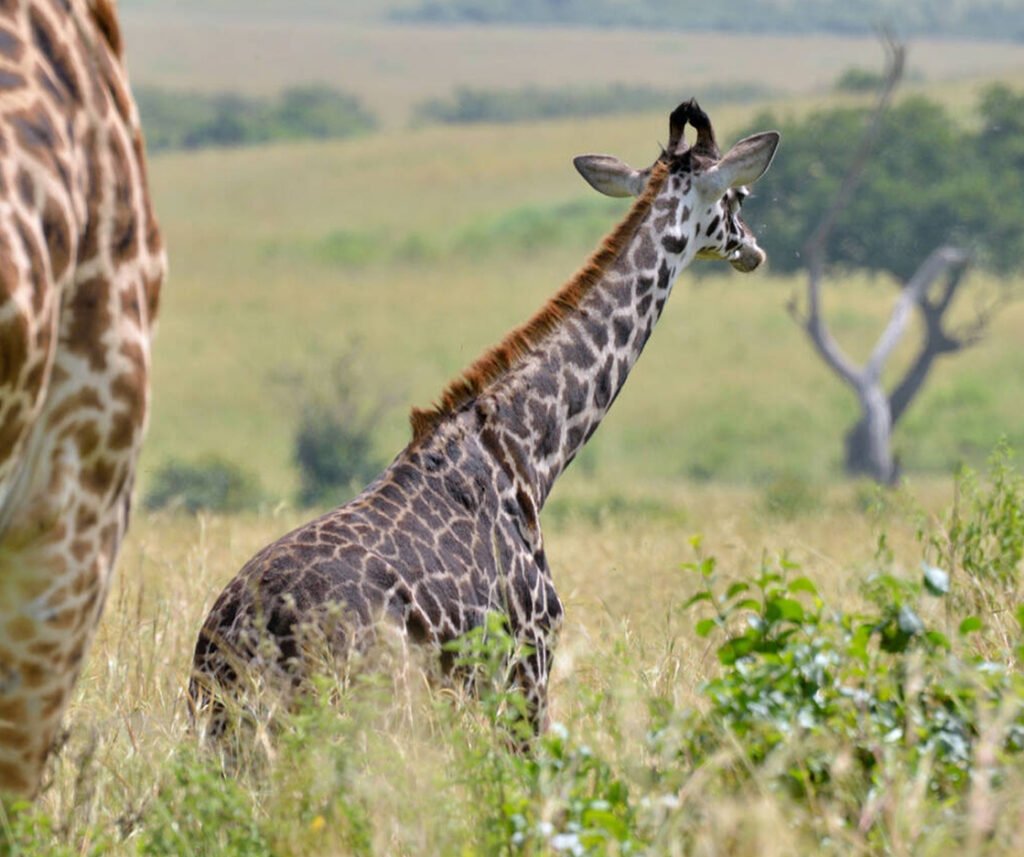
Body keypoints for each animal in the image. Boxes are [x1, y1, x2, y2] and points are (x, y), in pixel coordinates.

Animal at [190, 100, 778, 740]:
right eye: (739, 196)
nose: (754, 250)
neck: (529, 450)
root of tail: (231, 639)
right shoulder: (528, 661)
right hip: (369, 708)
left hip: (230, 729)